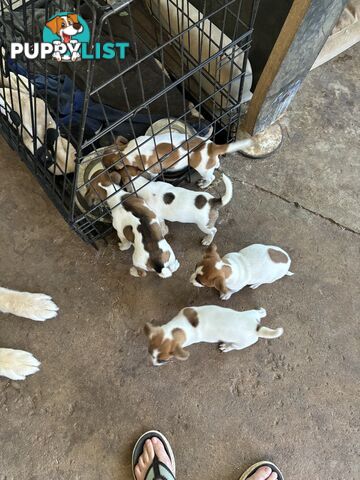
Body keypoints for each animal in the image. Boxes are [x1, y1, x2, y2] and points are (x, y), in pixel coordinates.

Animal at [144, 306, 284, 366]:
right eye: (149, 353)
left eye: (162, 360)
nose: (154, 364)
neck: (178, 328)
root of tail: (257, 328)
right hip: (250, 313)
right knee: (259, 313)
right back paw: (261, 311)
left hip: (241, 344)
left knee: (234, 347)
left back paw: (227, 346)